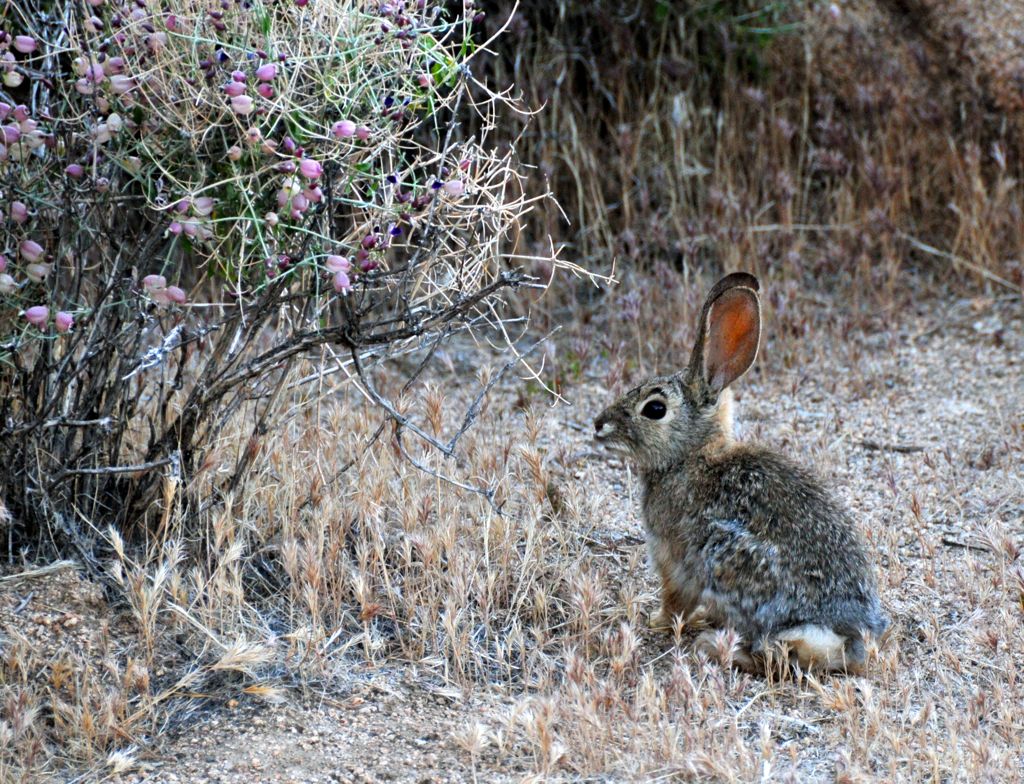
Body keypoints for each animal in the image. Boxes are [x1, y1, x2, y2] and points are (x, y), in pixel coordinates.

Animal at [594, 272, 888, 673]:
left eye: (654, 409)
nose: (599, 424)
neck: (691, 455)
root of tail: (848, 635)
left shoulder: (675, 562)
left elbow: (675, 601)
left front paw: (654, 621)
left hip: (731, 561)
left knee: (773, 653)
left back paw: (717, 647)